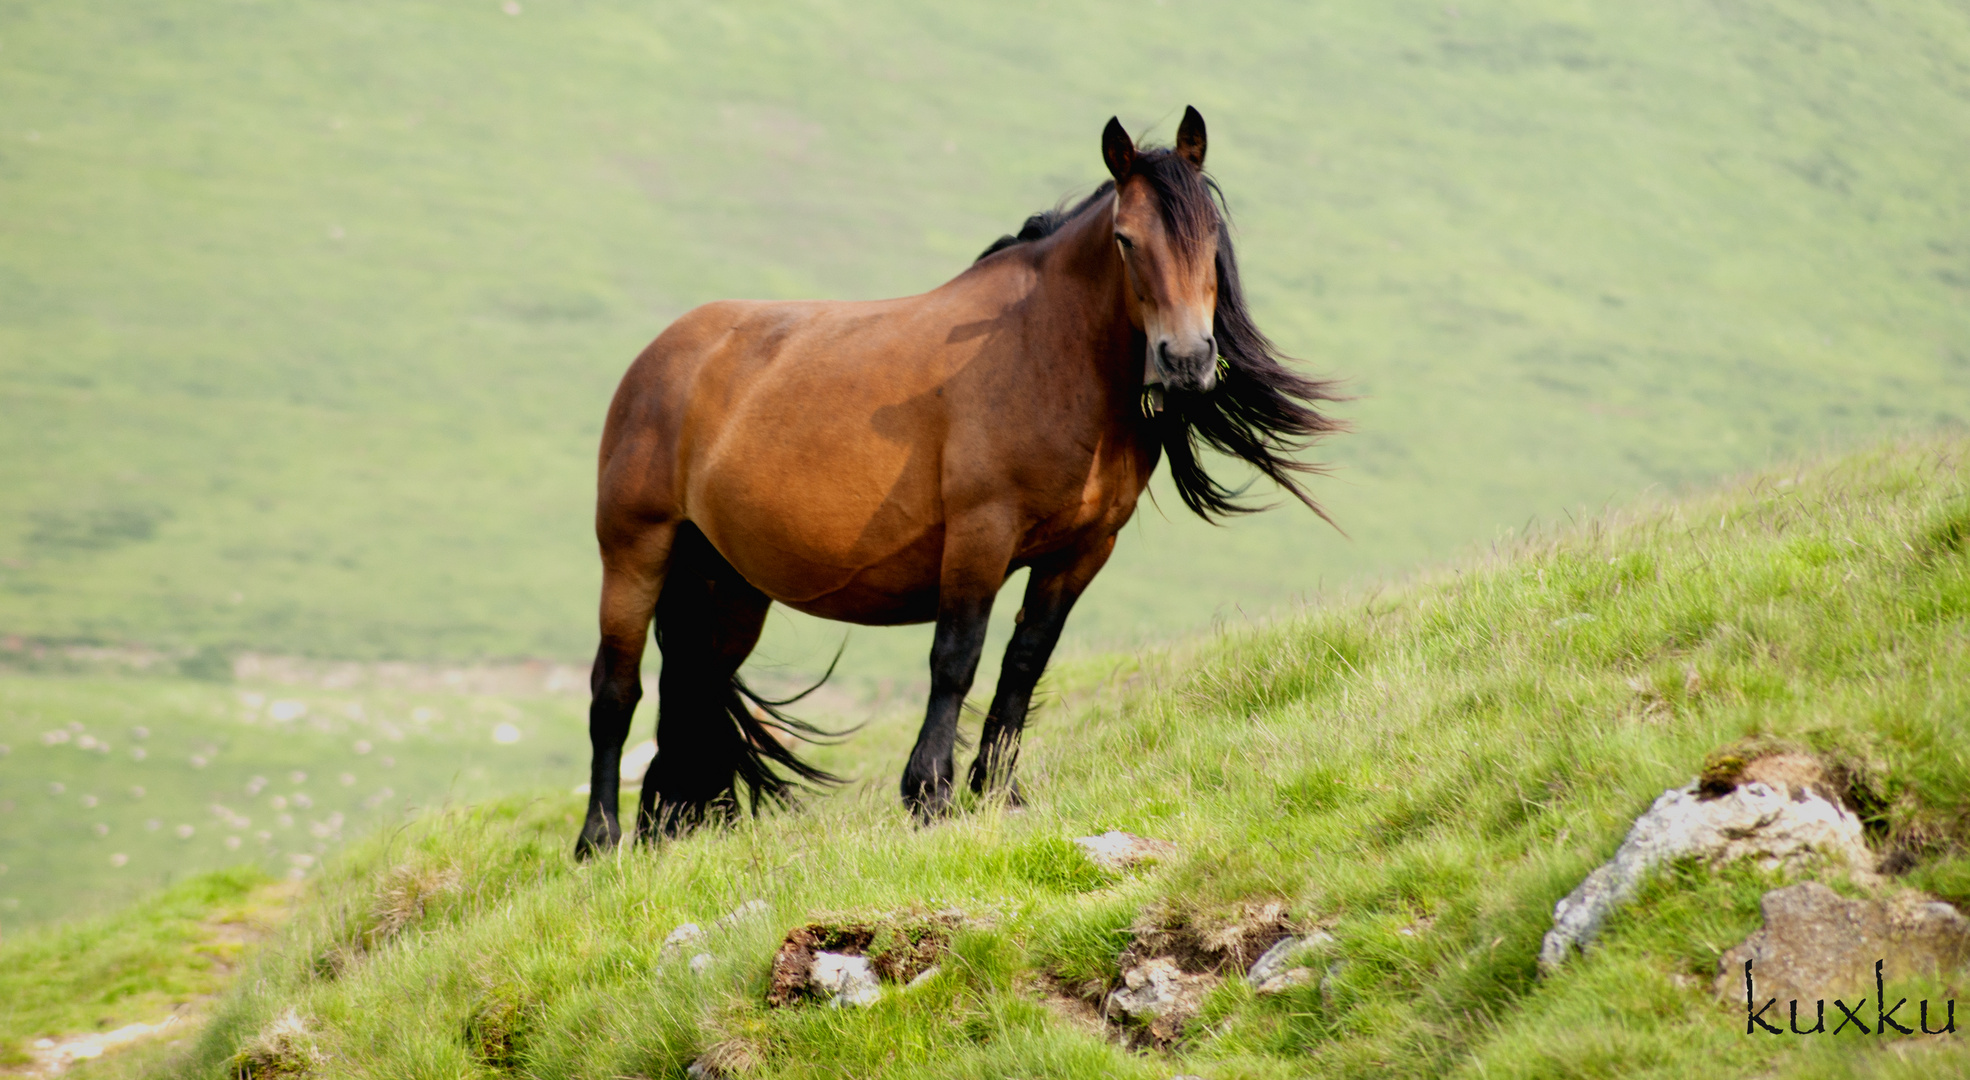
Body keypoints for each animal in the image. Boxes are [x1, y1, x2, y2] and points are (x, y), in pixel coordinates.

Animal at [571, 105, 1339, 855]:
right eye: (1125, 240)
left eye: (1211, 237)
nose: (1185, 361)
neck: (1044, 352)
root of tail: (660, 357)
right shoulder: (980, 534)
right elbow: (956, 659)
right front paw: (930, 794)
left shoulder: (1082, 550)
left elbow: (1026, 660)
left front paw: (997, 789)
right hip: (635, 552)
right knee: (617, 689)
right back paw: (600, 839)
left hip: (727, 584)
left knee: (692, 685)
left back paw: (669, 828)